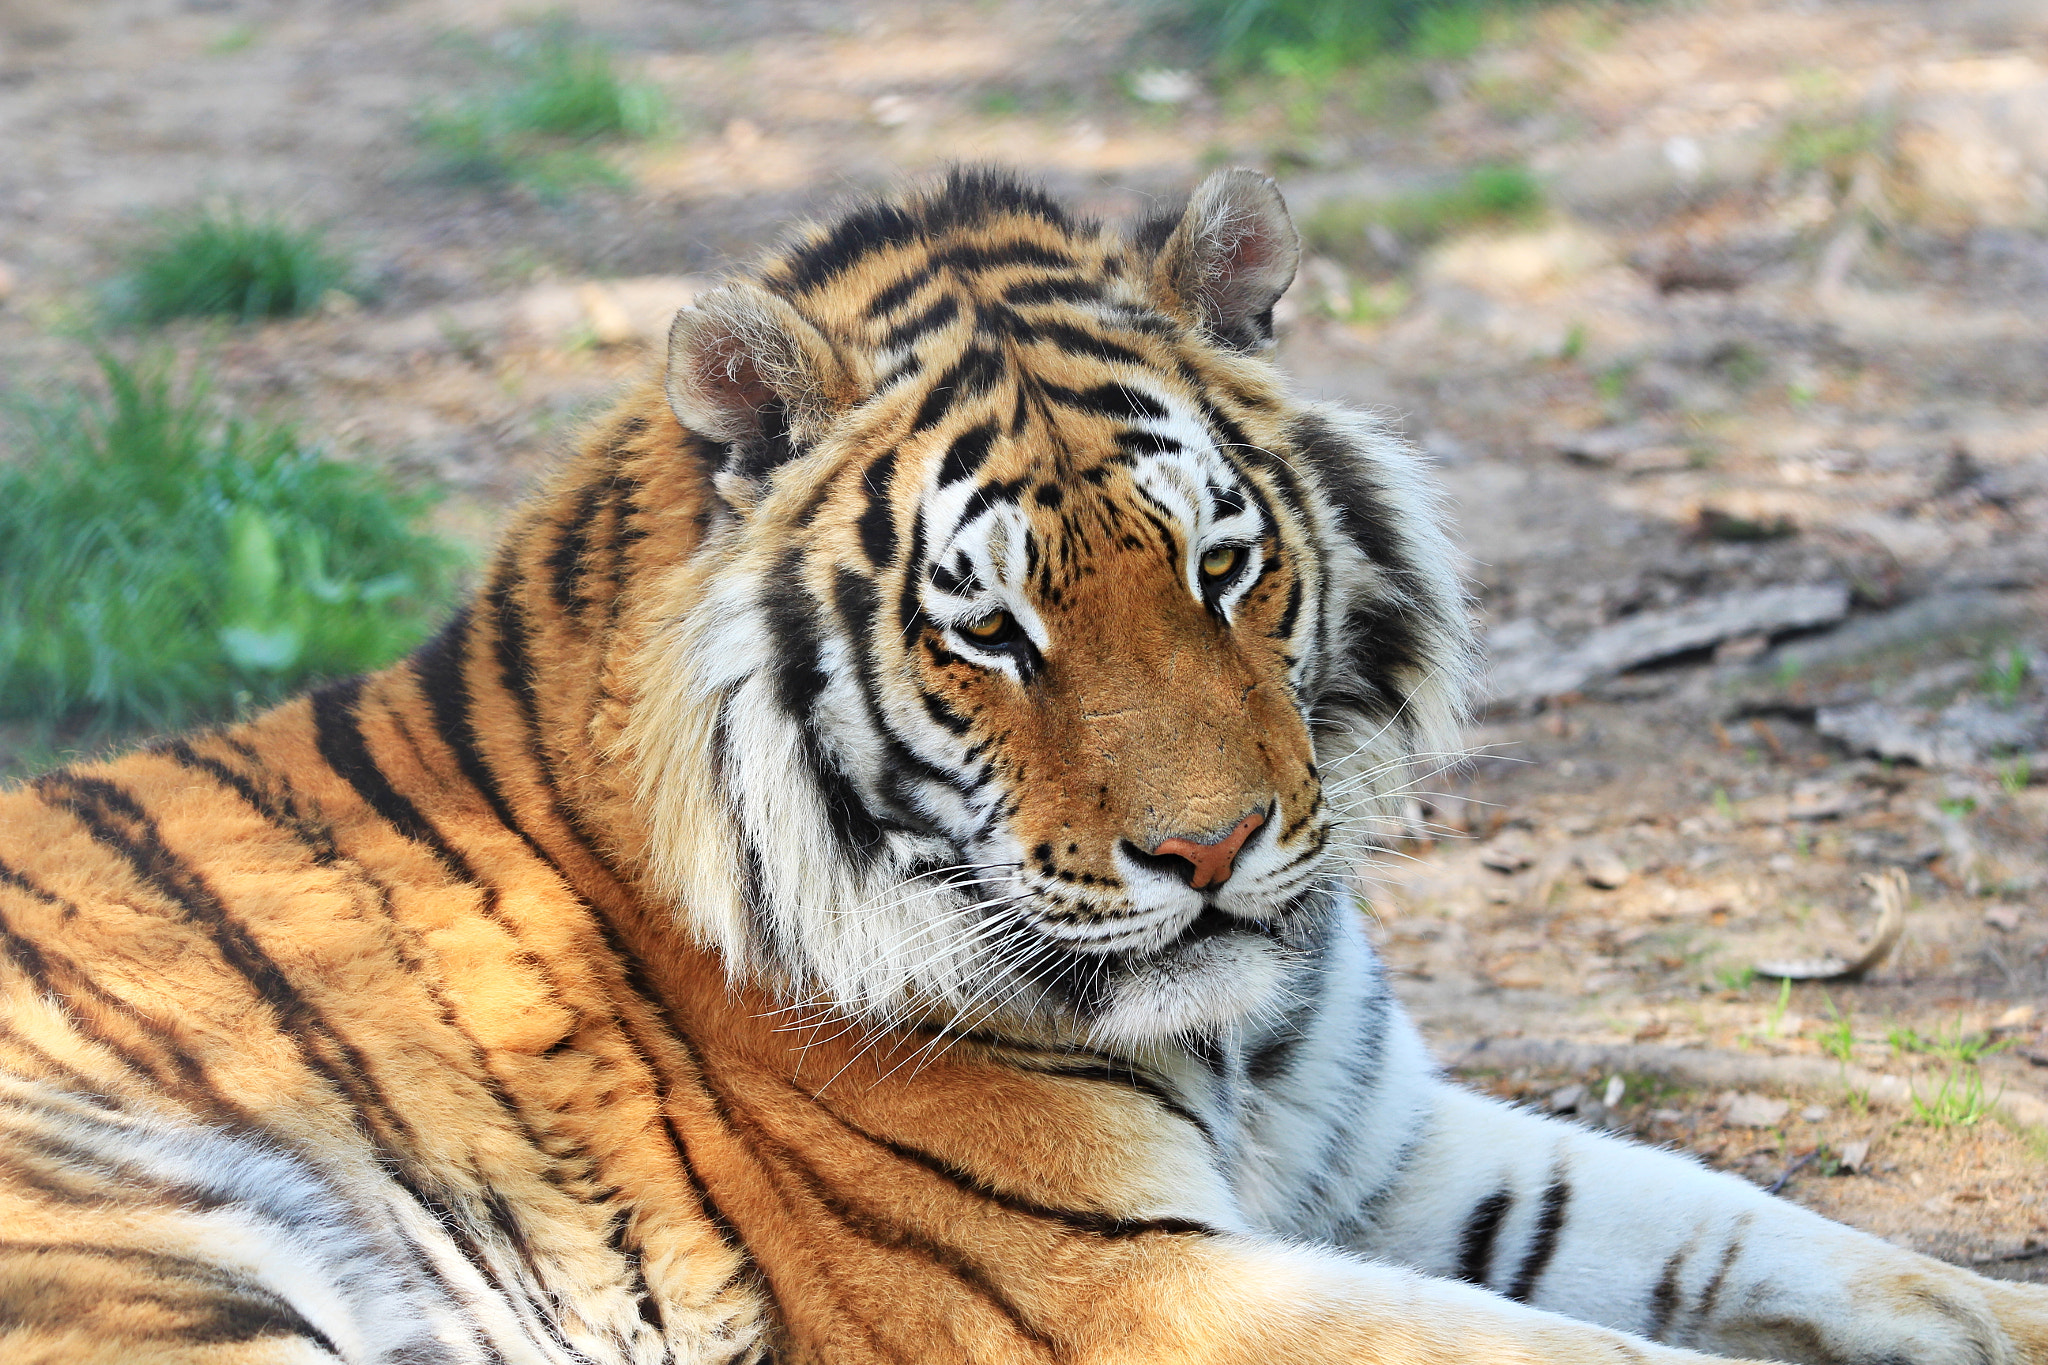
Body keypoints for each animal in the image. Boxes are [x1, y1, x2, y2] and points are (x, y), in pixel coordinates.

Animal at [1, 166, 2043, 1365]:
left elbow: (1773, 1233)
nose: (1209, 852)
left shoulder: (1385, 1148)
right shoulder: (1111, 1281)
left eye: (1220, 564)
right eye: (990, 632)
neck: (1230, 1040)